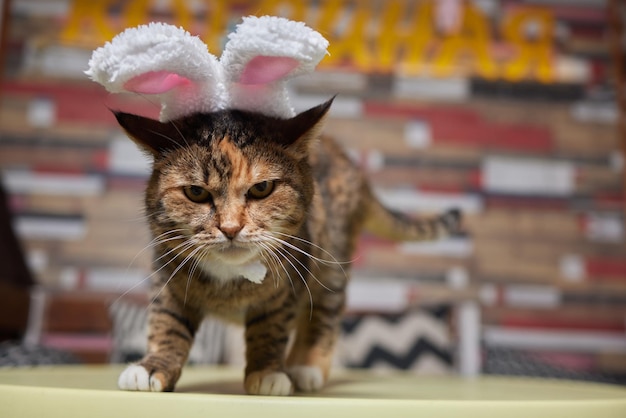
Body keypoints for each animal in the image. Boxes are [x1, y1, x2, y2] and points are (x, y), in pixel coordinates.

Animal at [114, 97, 460, 396]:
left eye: (262, 188)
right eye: (196, 193)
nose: (230, 227)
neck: (230, 279)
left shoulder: (289, 280)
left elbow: (271, 325)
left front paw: (267, 372)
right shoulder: (168, 274)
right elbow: (167, 323)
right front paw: (152, 367)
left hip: (332, 261)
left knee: (324, 314)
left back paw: (305, 368)